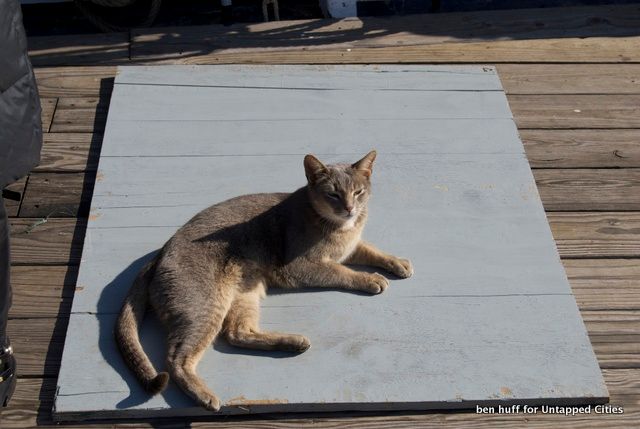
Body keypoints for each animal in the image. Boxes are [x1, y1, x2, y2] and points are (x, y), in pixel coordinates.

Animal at [115, 149, 416, 410]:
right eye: (333, 194)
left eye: (358, 192)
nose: (350, 209)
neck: (341, 227)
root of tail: (161, 252)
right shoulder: (300, 266)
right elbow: (342, 272)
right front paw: (371, 279)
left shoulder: (351, 247)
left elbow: (371, 249)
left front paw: (397, 262)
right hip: (205, 306)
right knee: (176, 357)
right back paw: (205, 396)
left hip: (246, 293)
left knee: (237, 334)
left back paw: (292, 342)